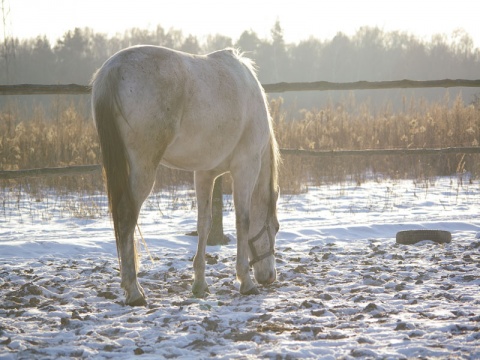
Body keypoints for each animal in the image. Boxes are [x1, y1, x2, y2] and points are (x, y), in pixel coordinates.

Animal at [91, 45, 282, 306]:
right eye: (276, 227)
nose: (269, 277)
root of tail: (113, 68)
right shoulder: (246, 167)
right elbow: (243, 220)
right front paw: (246, 281)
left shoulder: (205, 173)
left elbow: (204, 224)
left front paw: (200, 283)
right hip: (143, 168)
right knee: (126, 216)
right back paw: (134, 291)